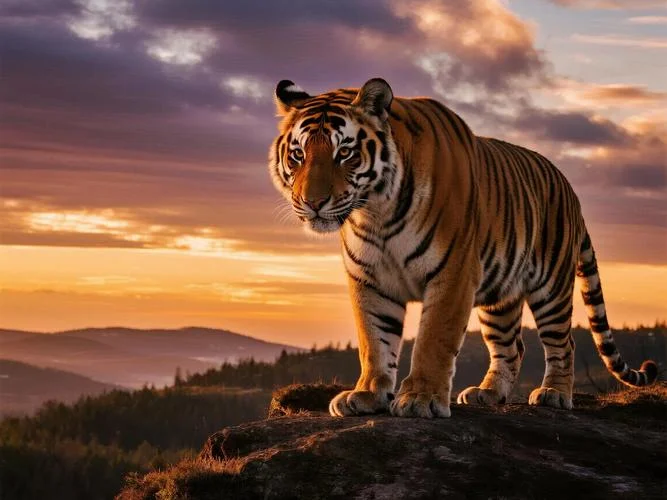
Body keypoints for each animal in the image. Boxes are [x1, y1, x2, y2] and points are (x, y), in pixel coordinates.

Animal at [268, 77, 658, 418]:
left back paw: (554, 394)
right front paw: (366, 395)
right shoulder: (369, 279)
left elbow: (433, 340)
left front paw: (421, 400)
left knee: (564, 343)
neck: (374, 211)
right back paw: (488, 393)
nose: (312, 203)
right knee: (511, 347)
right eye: (298, 155)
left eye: (344, 153)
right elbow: (373, 342)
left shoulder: (452, 272)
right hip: (500, 297)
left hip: (552, 287)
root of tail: (570, 190)